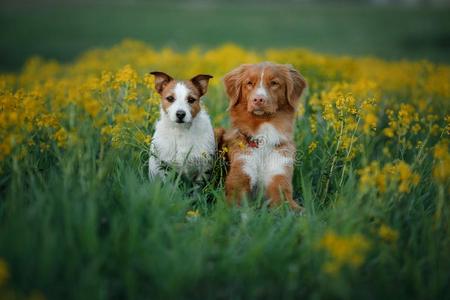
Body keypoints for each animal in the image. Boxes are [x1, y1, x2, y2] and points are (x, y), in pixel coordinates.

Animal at [221, 62, 306, 209]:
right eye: (249, 83)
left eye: (274, 83)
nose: (258, 99)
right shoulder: (239, 178)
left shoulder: (279, 179)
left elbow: (289, 207)